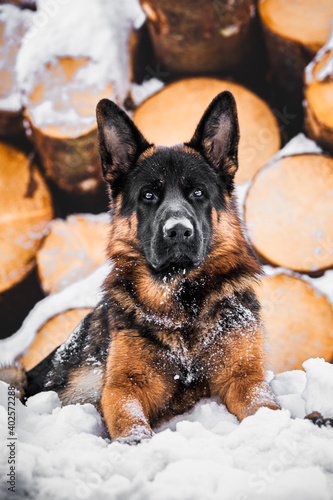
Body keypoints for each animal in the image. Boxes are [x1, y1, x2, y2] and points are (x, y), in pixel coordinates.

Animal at [5, 93, 282, 442]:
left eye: (198, 192)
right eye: (149, 195)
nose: (178, 231)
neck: (181, 305)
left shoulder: (244, 379)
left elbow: (265, 407)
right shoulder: (124, 388)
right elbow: (131, 423)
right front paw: (135, 444)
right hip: (13, 374)